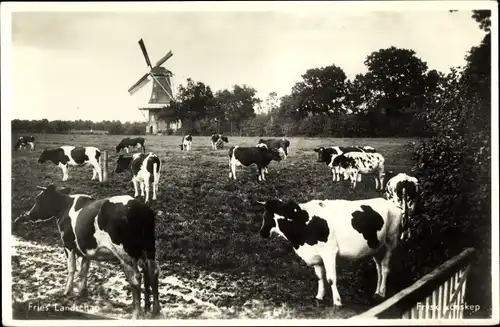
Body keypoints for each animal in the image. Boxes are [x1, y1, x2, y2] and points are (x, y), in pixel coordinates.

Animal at [12, 184, 160, 320]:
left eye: (39, 199)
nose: (29, 215)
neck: (65, 207)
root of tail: (141, 208)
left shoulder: (68, 245)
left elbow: (72, 268)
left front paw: (67, 291)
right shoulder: (86, 249)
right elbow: (84, 269)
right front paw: (82, 292)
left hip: (125, 254)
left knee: (135, 278)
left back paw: (136, 313)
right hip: (149, 249)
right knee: (152, 273)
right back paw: (154, 310)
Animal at [256, 197, 404, 308]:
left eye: (271, 216)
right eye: (264, 214)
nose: (262, 233)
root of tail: (391, 204)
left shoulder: (329, 252)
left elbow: (331, 279)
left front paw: (337, 302)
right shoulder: (316, 256)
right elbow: (320, 277)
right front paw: (319, 296)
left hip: (390, 240)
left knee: (385, 267)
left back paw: (382, 292)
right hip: (376, 247)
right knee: (379, 267)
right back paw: (376, 292)